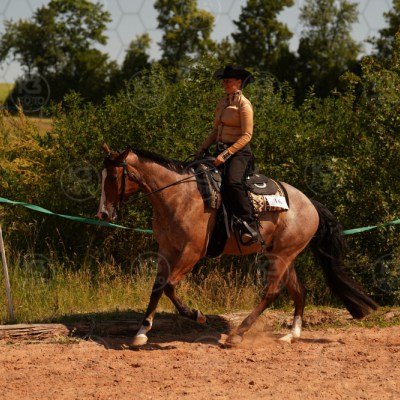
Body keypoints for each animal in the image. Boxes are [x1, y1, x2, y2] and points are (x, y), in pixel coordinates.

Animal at [97, 143, 379, 347]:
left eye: (113, 177)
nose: (103, 213)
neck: (178, 196)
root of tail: (310, 203)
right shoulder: (166, 250)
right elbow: (157, 287)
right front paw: (142, 332)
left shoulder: (191, 252)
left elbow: (170, 287)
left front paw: (197, 315)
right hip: (281, 255)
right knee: (299, 291)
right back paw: (291, 335)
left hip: (282, 256)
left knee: (272, 292)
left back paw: (238, 334)